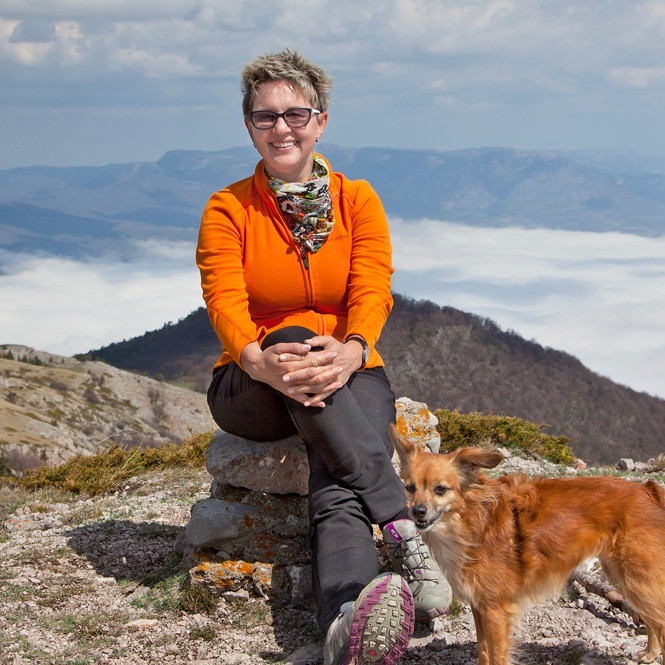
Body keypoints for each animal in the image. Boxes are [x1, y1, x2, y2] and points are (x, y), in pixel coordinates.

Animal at [389, 424, 665, 665]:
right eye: (410, 487)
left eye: (440, 489)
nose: (417, 512)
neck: (471, 522)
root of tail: (646, 490)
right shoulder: (480, 606)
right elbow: (484, 652)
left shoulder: (496, 611)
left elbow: (496, 656)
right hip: (623, 575)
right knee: (652, 619)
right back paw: (649, 654)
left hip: (636, 575)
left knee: (657, 617)